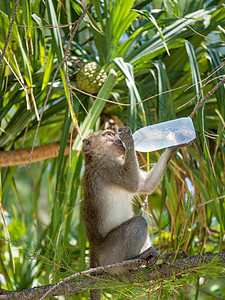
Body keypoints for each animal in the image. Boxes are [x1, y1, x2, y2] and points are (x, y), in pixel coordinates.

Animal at [82, 125, 193, 298]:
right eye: (109, 134)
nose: (118, 138)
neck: (97, 156)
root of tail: (94, 255)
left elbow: (146, 185)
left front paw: (175, 142)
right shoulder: (106, 167)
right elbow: (132, 183)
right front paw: (129, 138)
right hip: (110, 255)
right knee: (138, 222)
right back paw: (133, 261)